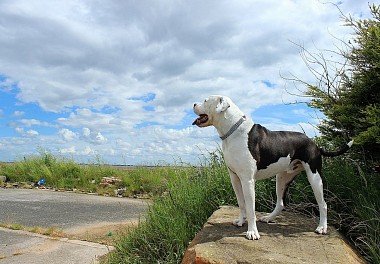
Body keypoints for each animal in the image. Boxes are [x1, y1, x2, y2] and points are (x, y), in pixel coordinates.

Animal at [193, 96, 354, 240]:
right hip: (282, 178)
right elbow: (241, 203)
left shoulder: (247, 180)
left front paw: (252, 232)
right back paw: (268, 218)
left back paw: (322, 227)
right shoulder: (235, 178)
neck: (233, 131)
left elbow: (251, 208)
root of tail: (315, 145)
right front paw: (241, 221)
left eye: (205, 100)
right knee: (281, 203)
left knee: (323, 204)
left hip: (315, 177)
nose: (194, 104)